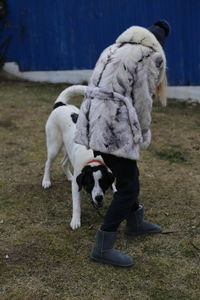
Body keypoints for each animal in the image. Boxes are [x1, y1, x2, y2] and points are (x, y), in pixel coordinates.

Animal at [41, 85, 115, 230]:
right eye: (90, 183)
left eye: (103, 182)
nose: (98, 198)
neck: (93, 159)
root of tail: (61, 105)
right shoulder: (77, 185)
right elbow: (76, 204)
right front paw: (75, 220)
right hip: (54, 146)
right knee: (48, 163)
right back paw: (46, 181)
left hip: (69, 150)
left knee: (63, 162)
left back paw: (70, 176)